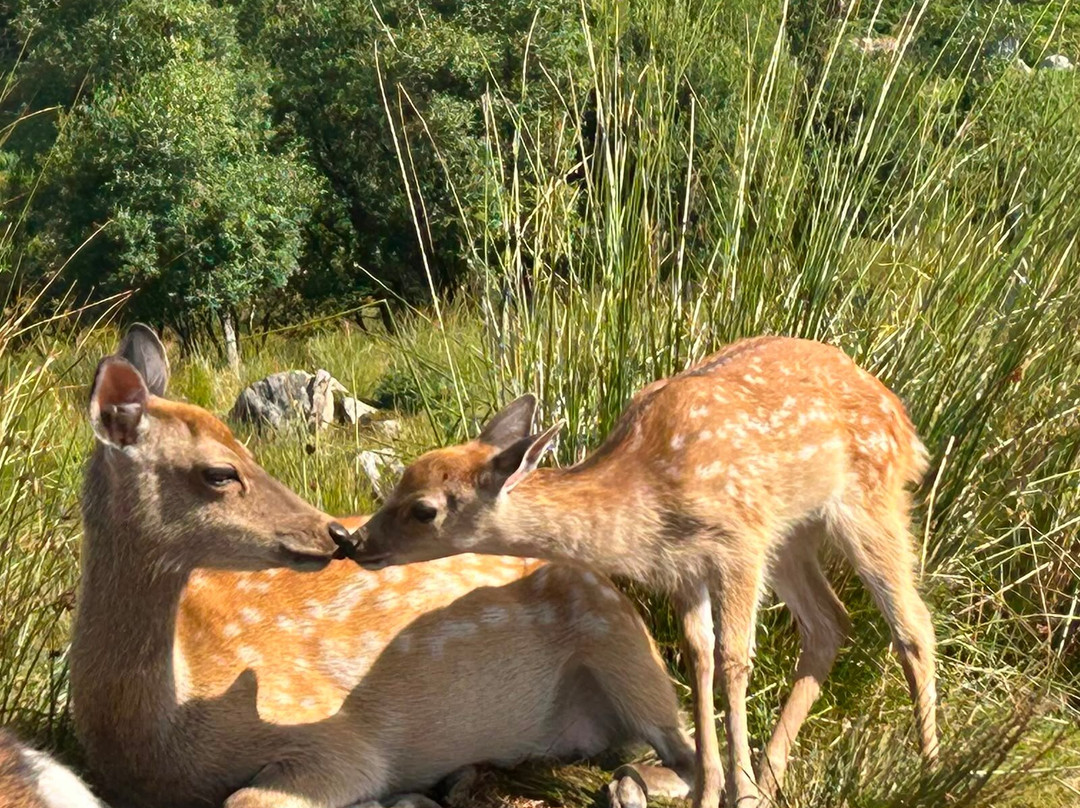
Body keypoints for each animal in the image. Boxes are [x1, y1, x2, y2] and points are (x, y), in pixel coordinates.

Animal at [71, 323, 695, 808]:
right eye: (220, 472)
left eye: (249, 449)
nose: (334, 533)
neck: (154, 739)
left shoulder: (326, 728)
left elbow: (245, 796)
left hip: (620, 637)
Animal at [343, 335, 939, 808]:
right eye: (400, 479)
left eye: (423, 509)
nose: (353, 541)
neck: (648, 500)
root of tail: (907, 424)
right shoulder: (684, 569)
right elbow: (699, 657)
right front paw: (709, 792)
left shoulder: (739, 542)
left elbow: (733, 660)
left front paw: (740, 795)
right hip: (794, 534)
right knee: (829, 623)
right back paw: (774, 776)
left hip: (867, 500)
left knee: (912, 624)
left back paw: (931, 769)